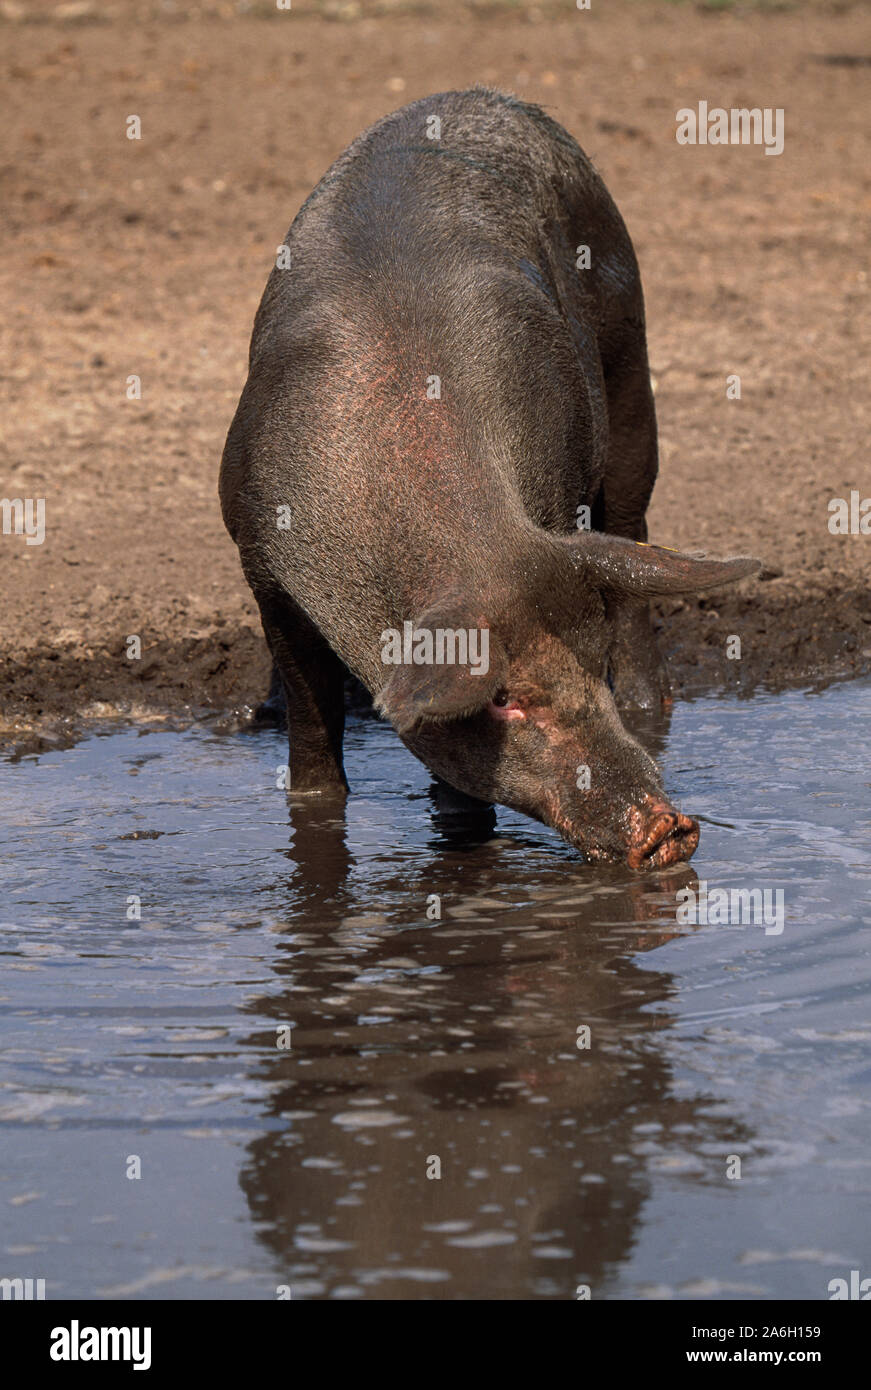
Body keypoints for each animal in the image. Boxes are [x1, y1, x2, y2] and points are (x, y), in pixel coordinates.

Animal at [219, 88, 759, 868]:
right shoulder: (262, 565)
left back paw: (645, 704)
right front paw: (313, 795)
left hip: (629, 358)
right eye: (505, 697)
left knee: (633, 532)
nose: (670, 827)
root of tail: (483, 97)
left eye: (590, 662)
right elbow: (313, 727)